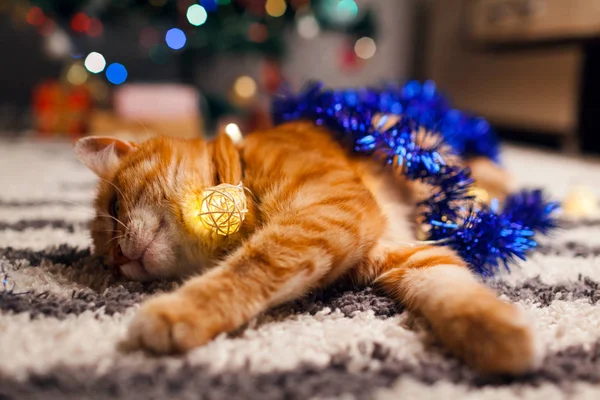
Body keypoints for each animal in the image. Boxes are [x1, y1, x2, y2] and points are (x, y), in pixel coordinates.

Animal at [74, 122, 536, 376]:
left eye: (113, 206)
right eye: (106, 264)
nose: (117, 260)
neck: (244, 168)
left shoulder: (323, 213)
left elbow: (251, 266)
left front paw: (175, 312)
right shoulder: (409, 257)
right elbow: (455, 295)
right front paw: (503, 338)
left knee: (485, 170)